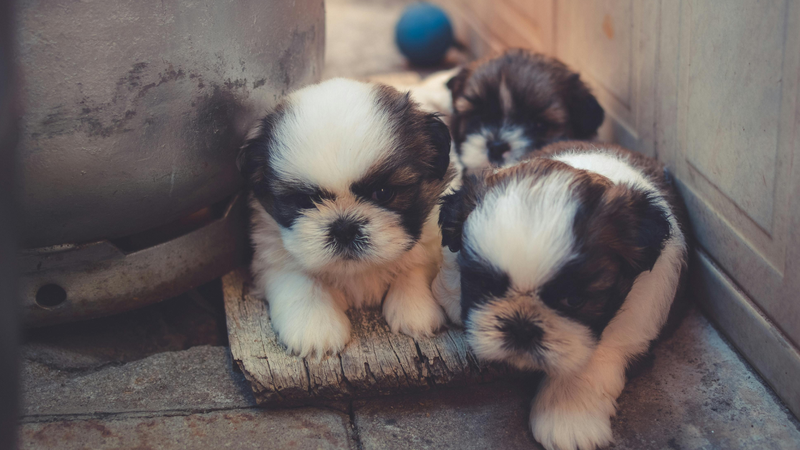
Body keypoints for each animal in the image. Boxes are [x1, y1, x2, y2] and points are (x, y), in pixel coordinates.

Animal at [238, 78, 454, 358]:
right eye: (305, 201)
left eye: (383, 193)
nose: (344, 229)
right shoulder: (272, 254)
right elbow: (299, 280)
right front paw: (313, 325)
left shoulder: (430, 239)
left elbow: (415, 265)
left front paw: (415, 308)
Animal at [432, 142, 688, 450]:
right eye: (485, 287)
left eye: (575, 301)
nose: (521, 327)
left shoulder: (634, 318)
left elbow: (591, 359)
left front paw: (569, 416)